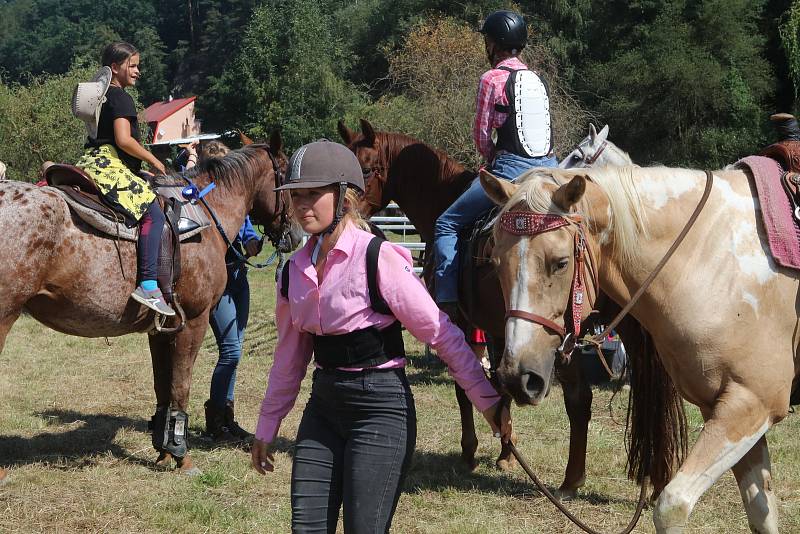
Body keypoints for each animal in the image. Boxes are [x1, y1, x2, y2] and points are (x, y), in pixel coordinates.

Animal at [0, 136, 304, 480]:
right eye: (288, 181)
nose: (296, 235)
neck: (205, 216)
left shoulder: (160, 329)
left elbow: (163, 388)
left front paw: (163, 449)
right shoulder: (194, 322)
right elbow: (181, 385)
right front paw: (182, 455)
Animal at [334, 119, 672, 500]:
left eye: (364, 169)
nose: (344, 213)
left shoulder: (459, 323)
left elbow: (466, 385)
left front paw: (470, 451)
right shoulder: (500, 331)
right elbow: (500, 383)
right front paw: (506, 450)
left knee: (579, 398)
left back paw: (573, 480)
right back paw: (652, 476)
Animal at [482, 165, 792, 532]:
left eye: (560, 263)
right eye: (495, 262)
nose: (517, 377)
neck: (715, 260)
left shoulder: (752, 404)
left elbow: (672, 506)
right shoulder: (723, 406)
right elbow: (761, 510)